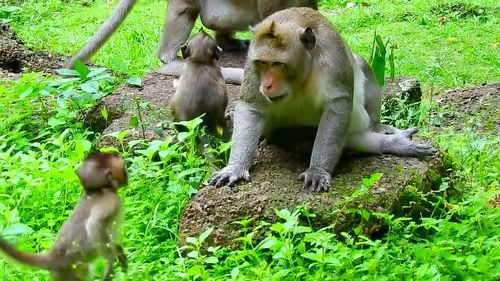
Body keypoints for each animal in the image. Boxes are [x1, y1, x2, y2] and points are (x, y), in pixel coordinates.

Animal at [0, 153, 129, 280]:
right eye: (123, 168)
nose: (126, 175)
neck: (97, 190)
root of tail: (52, 256)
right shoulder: (111, 200)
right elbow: (94, 225)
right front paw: (111, 263)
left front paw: (119, 254)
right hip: (67, 272)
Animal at [209, 7, 436, 190]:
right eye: (262, 63)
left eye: (278, 64)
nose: (267, 85)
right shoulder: (250, 63)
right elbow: (251, 106)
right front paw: (235, 167)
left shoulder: (333, 61)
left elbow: (338, 107)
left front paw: (318, 170)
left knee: (362, 66)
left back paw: (382, 132)